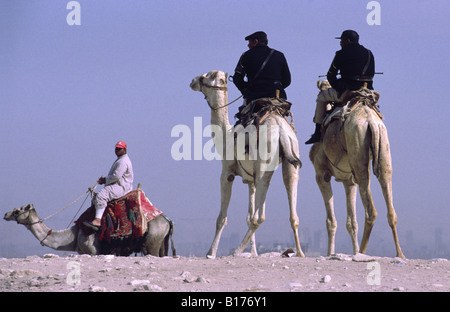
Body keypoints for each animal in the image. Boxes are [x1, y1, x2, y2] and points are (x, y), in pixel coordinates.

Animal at [3, 204, 176, 258]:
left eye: (17, 211)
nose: (5, 214)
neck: (73, 235)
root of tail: (167, 219)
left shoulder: (94, 251)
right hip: (161, 241)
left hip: (152, 242)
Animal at [190, 70, 306, 258]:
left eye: (205, 76)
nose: (193, 81)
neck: (225, 135)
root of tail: (281, 130)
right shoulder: (250, 181)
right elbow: (248, 216)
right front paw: (254, 252)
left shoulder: (227, 173)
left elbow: (222, 218)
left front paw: (210, 252)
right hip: (291, 161)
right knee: (292, 211)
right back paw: (300, 253)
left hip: (264, 165)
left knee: (260, 216)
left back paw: (236, 250)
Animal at [310, 81, 404, 258]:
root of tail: (371, 122)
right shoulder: (349, 181)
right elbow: (351, 222)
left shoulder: (321, 175)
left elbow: (331, 221)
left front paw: (329, 253)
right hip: (383, 147)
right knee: (390, 205)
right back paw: (399, 254)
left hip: (358, 149)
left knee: (371, 210)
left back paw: (362, 252)